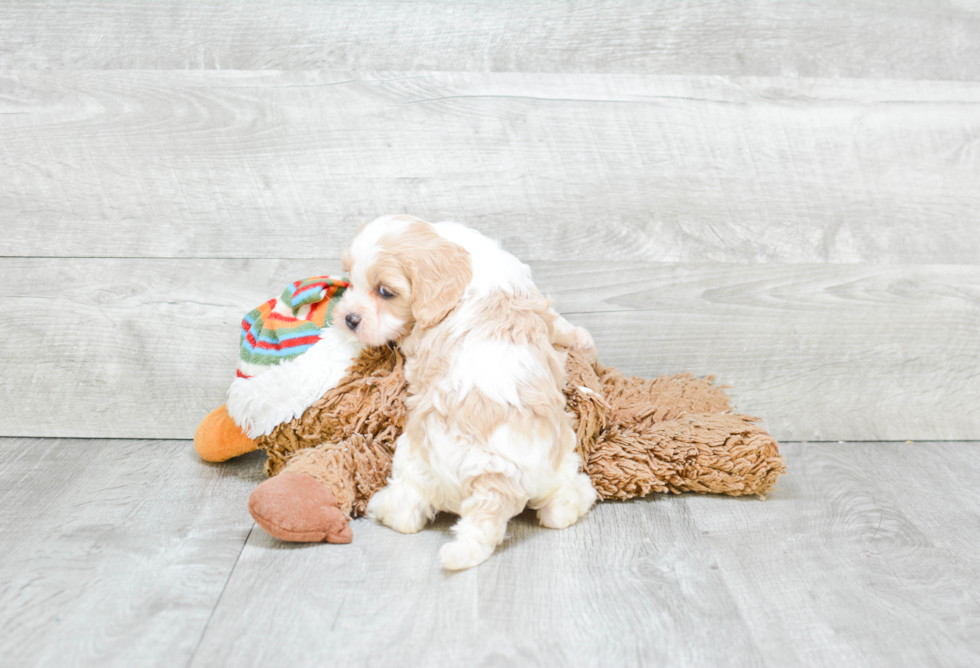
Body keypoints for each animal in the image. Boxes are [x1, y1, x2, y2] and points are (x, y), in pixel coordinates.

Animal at [334, 214, 596, 568]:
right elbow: (556, 322)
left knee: (406, 512)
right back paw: (580, 497)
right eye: (349, 279)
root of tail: (495, 476)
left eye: (385, 292)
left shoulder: (416, 341)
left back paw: (382, 506)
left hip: (413, 458)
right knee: (561, 508)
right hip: (558, 465)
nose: (349, 318)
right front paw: (582, 338)